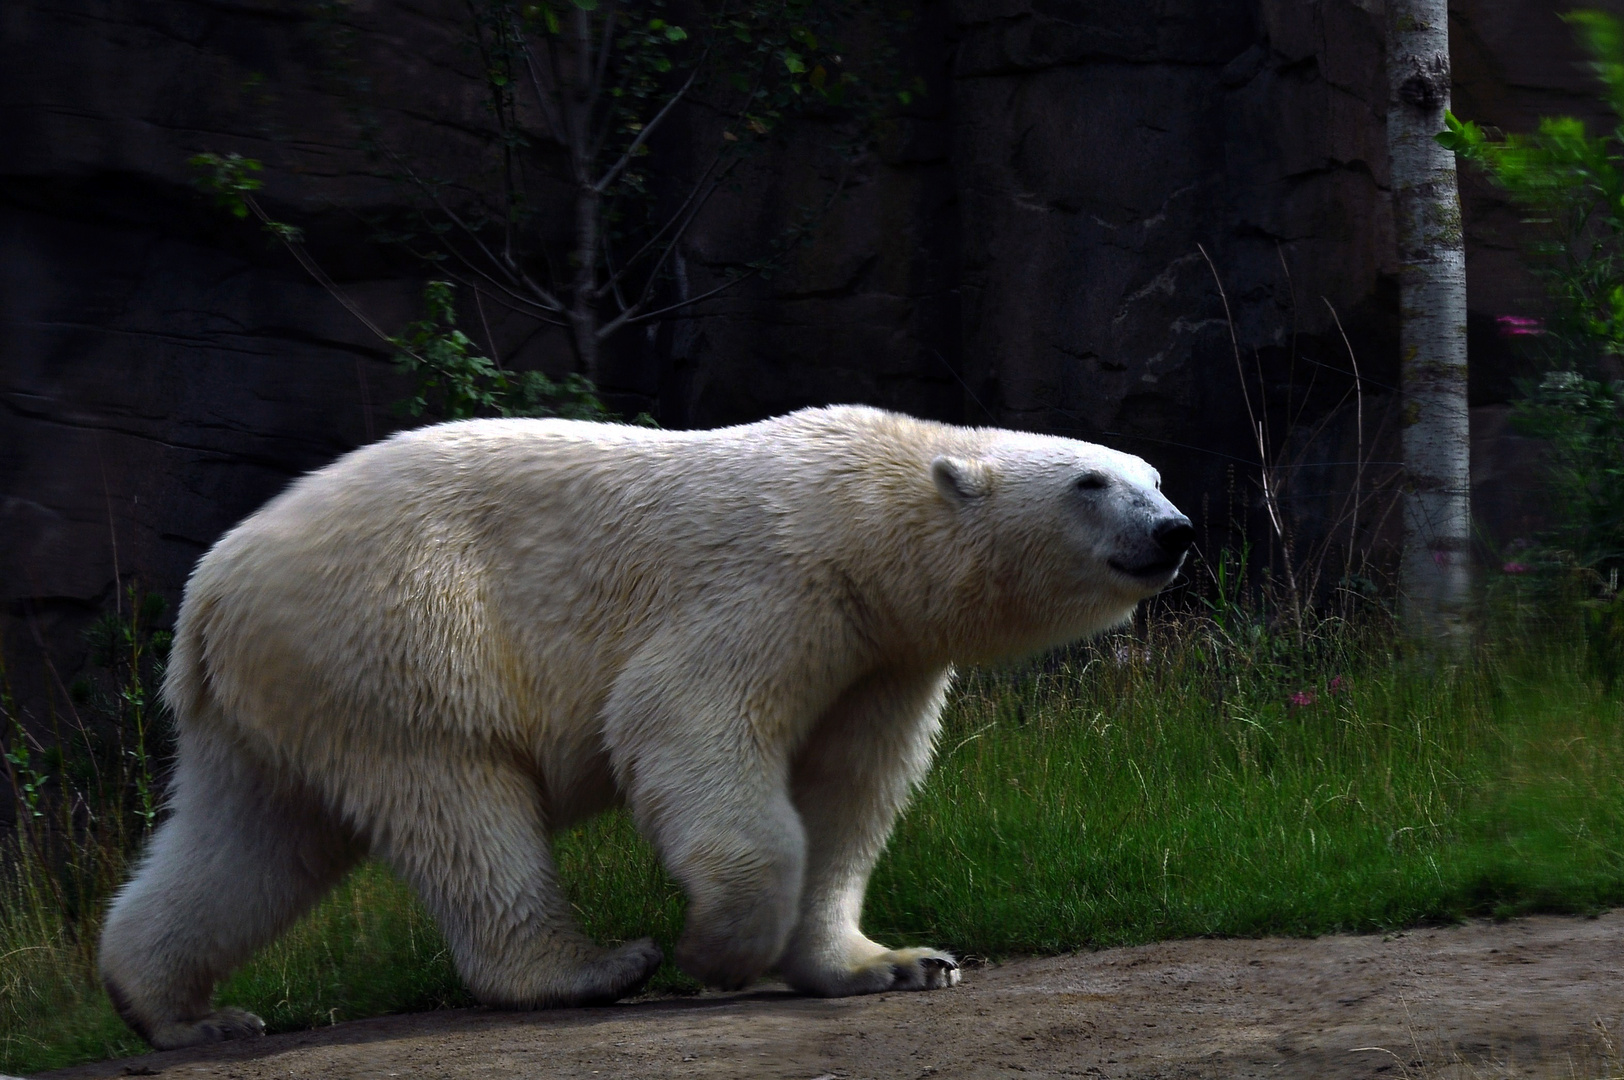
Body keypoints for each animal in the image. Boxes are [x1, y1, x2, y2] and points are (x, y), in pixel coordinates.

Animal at [101, 404, 1195, 1045]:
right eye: (1091, 483)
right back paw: (589, 970)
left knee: (252, 839)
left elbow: (849, 791)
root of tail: (210, 592)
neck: (864, 507)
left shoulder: (881, 652)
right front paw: (718, 950)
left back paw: (178, 1010)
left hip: (284, 691)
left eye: (1151, 472)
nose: (1175, 529)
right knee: (460, 804)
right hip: (401, 631)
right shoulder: (775, 582)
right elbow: (683, 719)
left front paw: (894, 964)